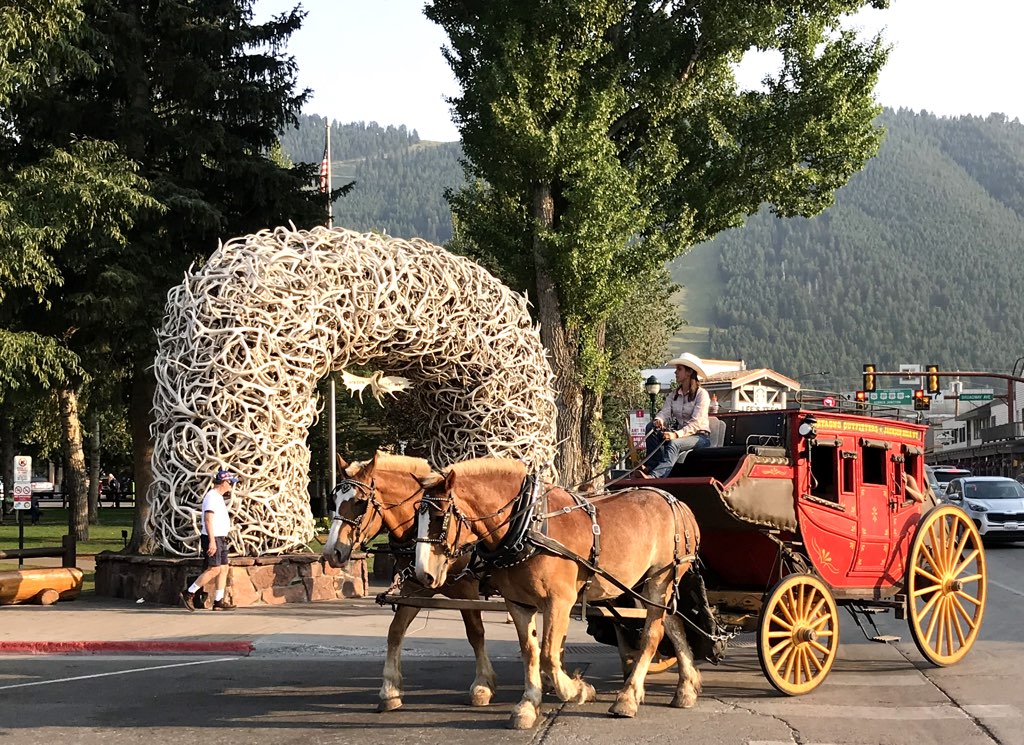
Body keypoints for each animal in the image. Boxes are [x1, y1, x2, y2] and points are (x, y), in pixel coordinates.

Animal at [319, 450, 495, 712]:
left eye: (360, 502)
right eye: (333, 502)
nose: (332, 552)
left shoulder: (468, 590)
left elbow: (476, 633)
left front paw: (482, 686)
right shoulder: (416, 589)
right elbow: (396, 630)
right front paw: (390, 690)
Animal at [415, 456, 704, 728]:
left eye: (440, 517)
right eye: (417, 516)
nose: (423, 573)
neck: (527, 524)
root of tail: (678, 503)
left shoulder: (559, 602)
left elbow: (548, 655)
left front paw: (578, 690)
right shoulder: (518, 603)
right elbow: (530, 652)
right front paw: (528, 705)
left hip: (661, 580)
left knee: (652, 634)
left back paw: (628, 696)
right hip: (649, 584)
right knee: (674, 624)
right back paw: (685, 687)